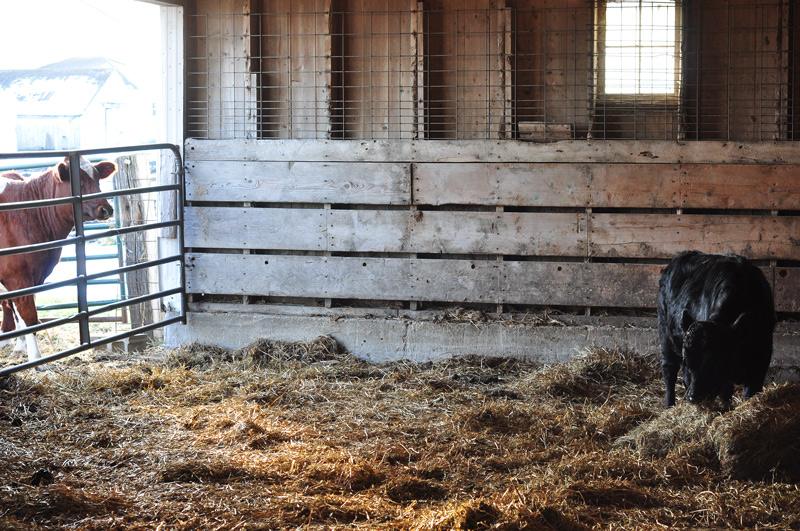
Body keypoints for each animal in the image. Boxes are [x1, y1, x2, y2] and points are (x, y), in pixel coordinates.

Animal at [0, 156, 115, 362]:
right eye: (79, 182)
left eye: (97, 179)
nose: (106, 208)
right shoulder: (17, 277)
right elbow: (29, 317)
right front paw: (36, 359)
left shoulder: (34, 278)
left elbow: (23, 315)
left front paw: (23, 349)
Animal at [658, 250, 775, 408]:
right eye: (688, 360)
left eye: (714, 360)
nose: (695, 396)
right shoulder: (725, 379)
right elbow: (725, 396)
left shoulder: (760, 363)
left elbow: (750, 393)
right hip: (665, 336)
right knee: (669, 371)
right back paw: (669, 405)